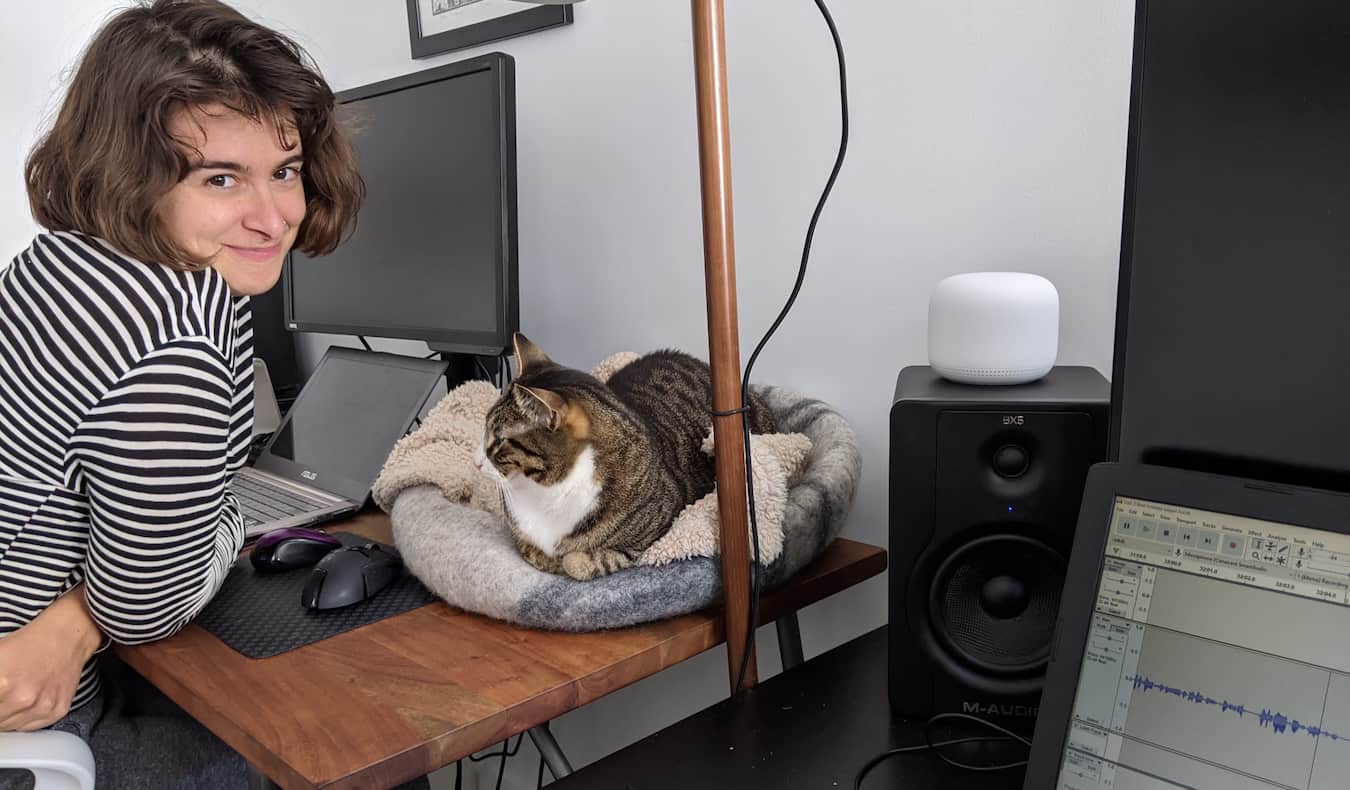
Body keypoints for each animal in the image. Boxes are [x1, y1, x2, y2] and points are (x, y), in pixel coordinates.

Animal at [477, 330, 777, 577]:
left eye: (499, 439)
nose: (476, 463)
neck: (546, 490)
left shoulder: (657, 527)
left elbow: (579, 562)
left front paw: (567, 560)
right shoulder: (523, 537)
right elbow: (532, 550)